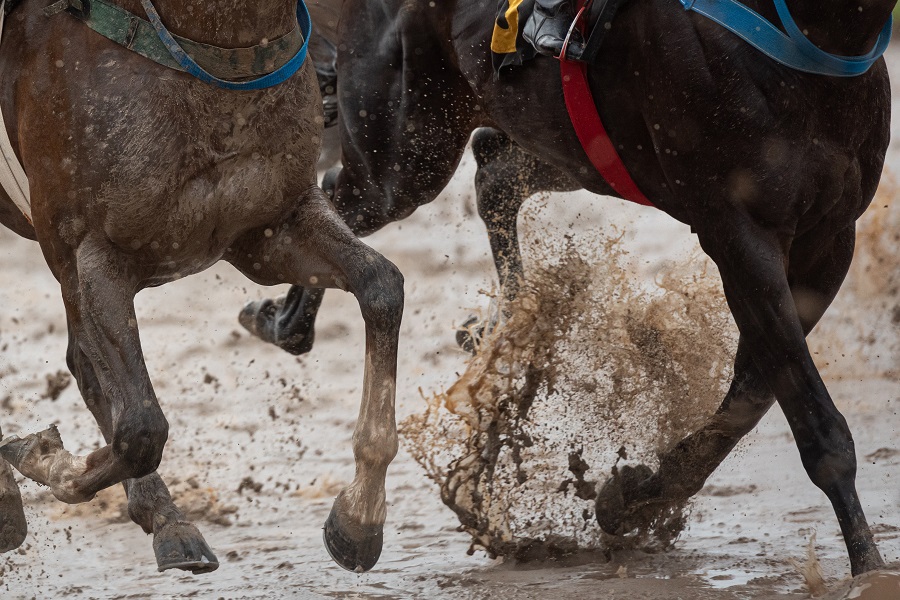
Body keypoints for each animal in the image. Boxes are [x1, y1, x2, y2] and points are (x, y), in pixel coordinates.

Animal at [0, 0, 400, 576]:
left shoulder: (269, 229)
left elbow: (382, 286)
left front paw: (358, 519)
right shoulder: (92, 254)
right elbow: (142, 425)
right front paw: (42, 457)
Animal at [243, 0, 896, 576]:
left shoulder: (828, 241)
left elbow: (751, 394)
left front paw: (637, 496)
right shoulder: (739, 232)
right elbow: (813, 424)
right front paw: (867, 568)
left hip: (566, 144)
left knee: (491, 167)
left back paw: (505, 316)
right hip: (408, 150)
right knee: (337, 191)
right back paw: (290, 323)